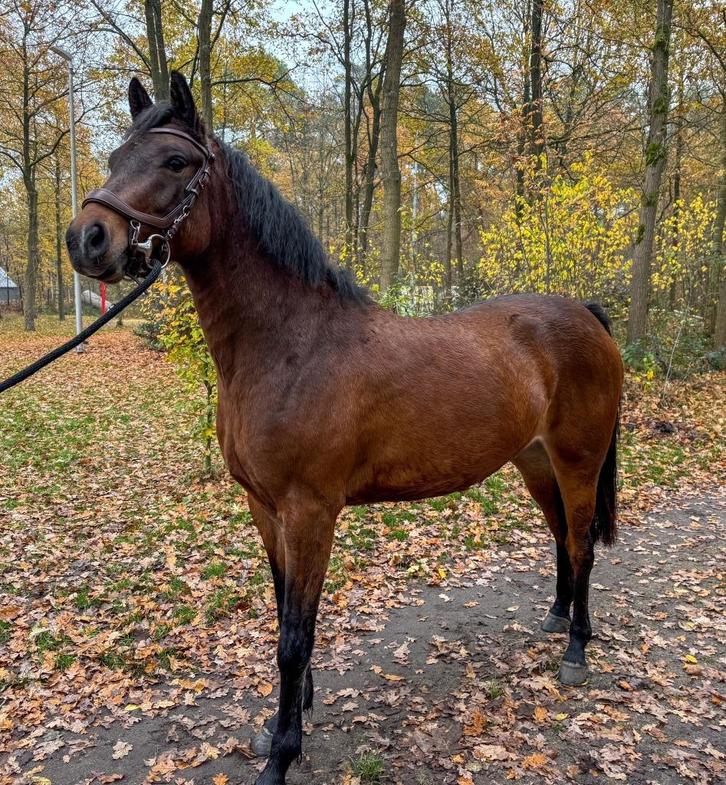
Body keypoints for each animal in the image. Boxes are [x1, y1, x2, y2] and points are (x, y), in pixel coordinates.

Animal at [66, 72, 623, 785]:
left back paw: (577, 650)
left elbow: (293, 636)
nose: (88, 239)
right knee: (560, 538)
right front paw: (292, 715)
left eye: (173, 162)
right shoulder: (265, 508)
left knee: (581, 544)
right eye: (114, 159)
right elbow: (284, 615)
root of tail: (583, 313)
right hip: (533, 460)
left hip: (579, 458)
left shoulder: (310, 510)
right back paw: (556, 620)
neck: (290, 345)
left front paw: (282, 753)